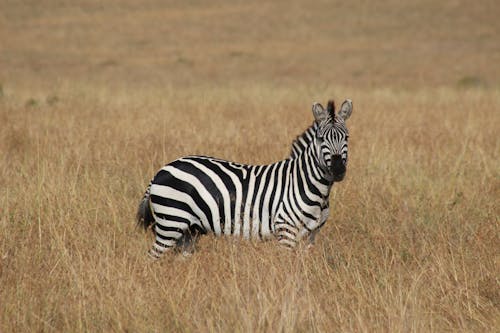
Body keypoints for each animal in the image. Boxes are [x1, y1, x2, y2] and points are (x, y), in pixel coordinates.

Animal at [137, 97, 352, 258]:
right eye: (321, 139)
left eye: (347, 137)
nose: (338, 170)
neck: (308, 183)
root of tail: (161, 170)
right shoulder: (286, 230)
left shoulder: (312, 234)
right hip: (170, 222)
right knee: (152, 257)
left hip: (189, 231)